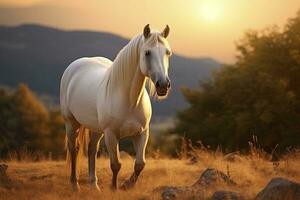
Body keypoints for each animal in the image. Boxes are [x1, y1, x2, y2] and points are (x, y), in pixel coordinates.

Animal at [60, 24, 172, 190]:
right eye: (147, 52)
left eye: (167, 52)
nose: (163, 85)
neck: (130, 100)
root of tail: (74, 66)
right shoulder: (111, 134)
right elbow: (116, 164)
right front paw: (114, 188)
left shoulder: (142, 133)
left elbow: (140, 164)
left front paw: (127, 185)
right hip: (71, 123)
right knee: (74, 149)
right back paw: (75, 185)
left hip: (97, 129)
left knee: (91, 149)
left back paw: (94, 185)